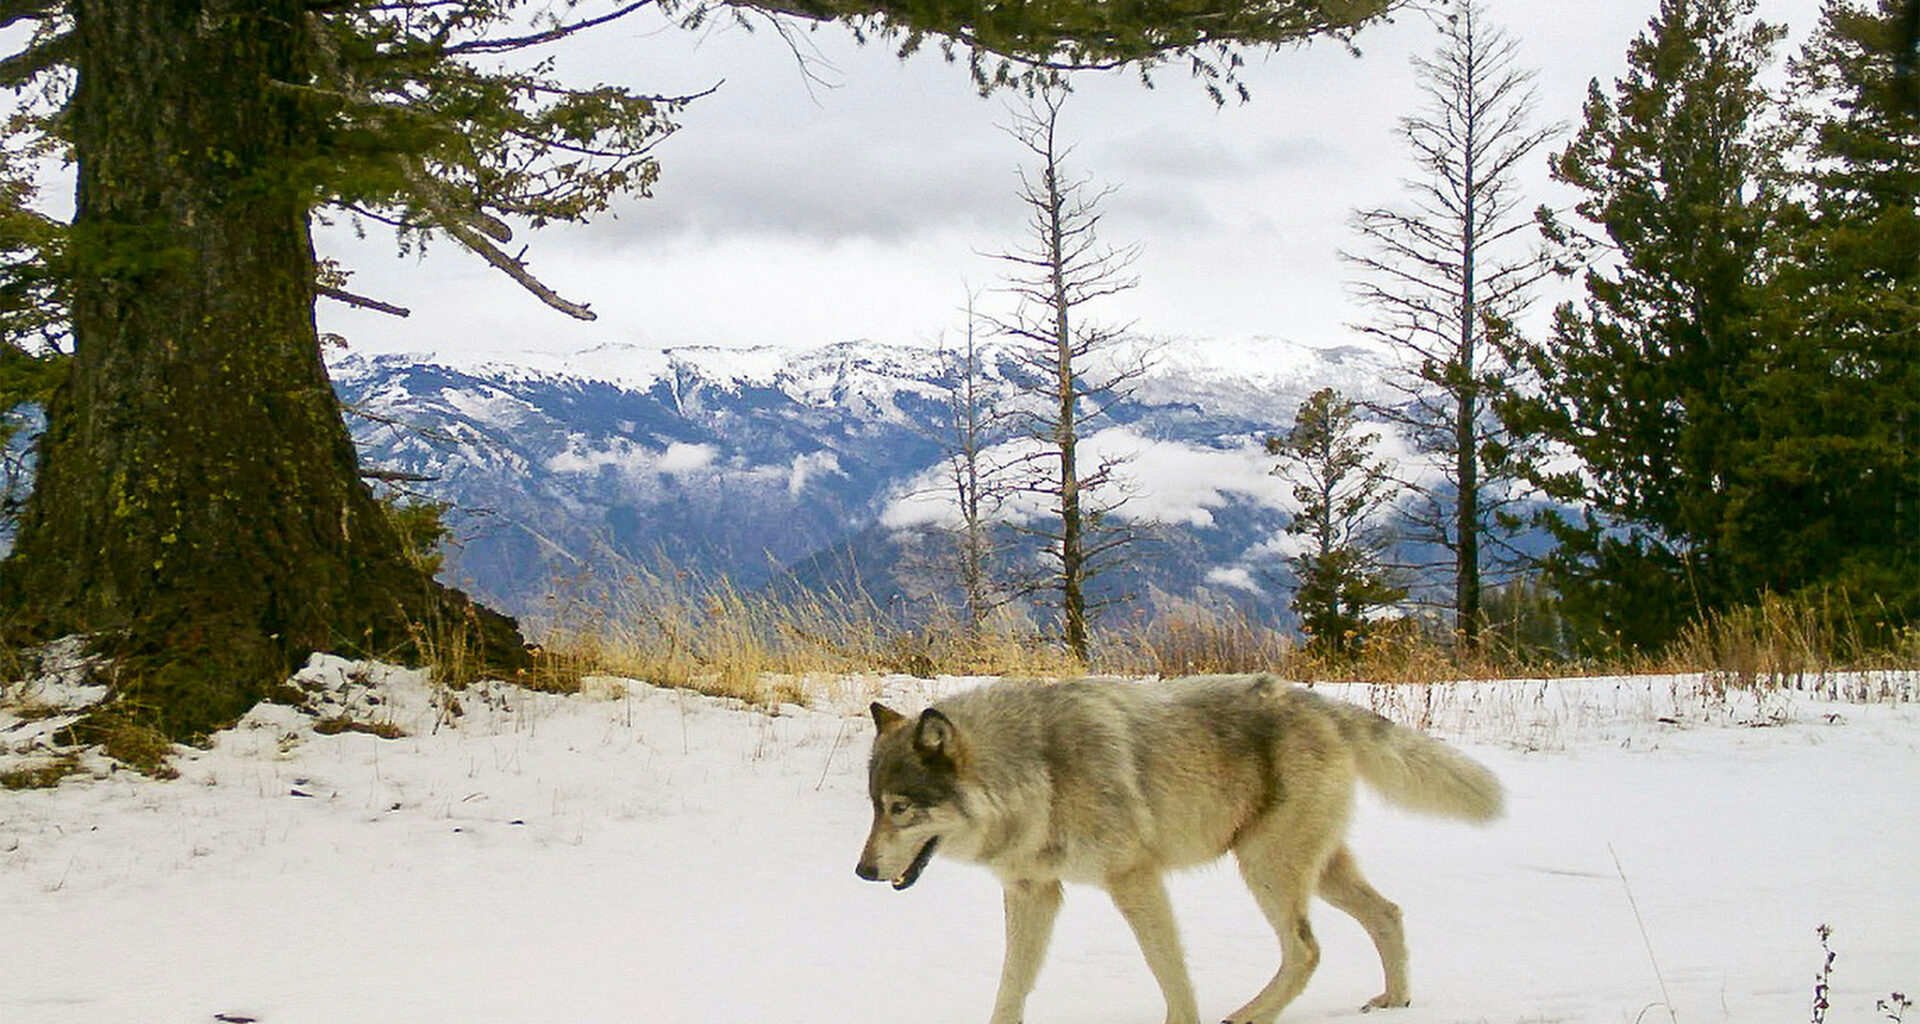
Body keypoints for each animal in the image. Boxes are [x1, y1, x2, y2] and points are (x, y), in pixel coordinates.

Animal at [854, 674, 1503, 1024]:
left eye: (901, 809)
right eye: (874, 806)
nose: (861, 871)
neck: (1039, 771)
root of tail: (1318, 702)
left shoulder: (1134, 879)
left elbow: (1168, 968)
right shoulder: (1033, 891)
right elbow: (1012, 982)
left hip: (1266, 869)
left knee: (1306, 950)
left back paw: (1247, 1016)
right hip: (1314, 871)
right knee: (1387, 914)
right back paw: (1395, 1002)